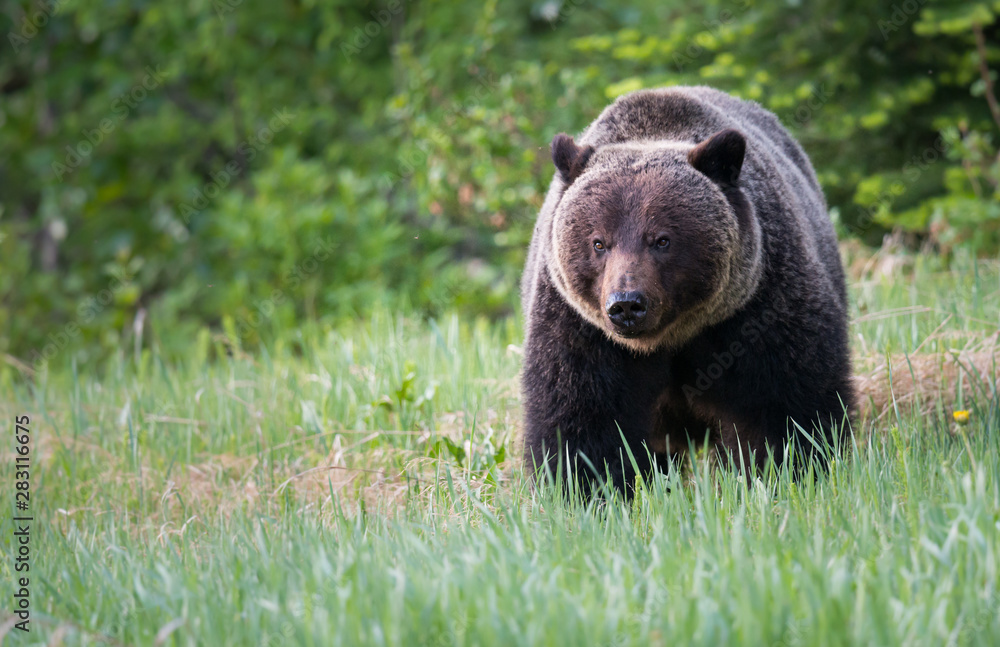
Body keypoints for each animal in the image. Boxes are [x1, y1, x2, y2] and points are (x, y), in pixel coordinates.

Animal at [520, 85, 855, 496]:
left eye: (661, 239)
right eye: (599, 242)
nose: (627, 305)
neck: (672, 336)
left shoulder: (757, 308)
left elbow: (785, 402)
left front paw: (787, 473)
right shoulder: (581, 328)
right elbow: (582, 416)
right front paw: (586, 490)